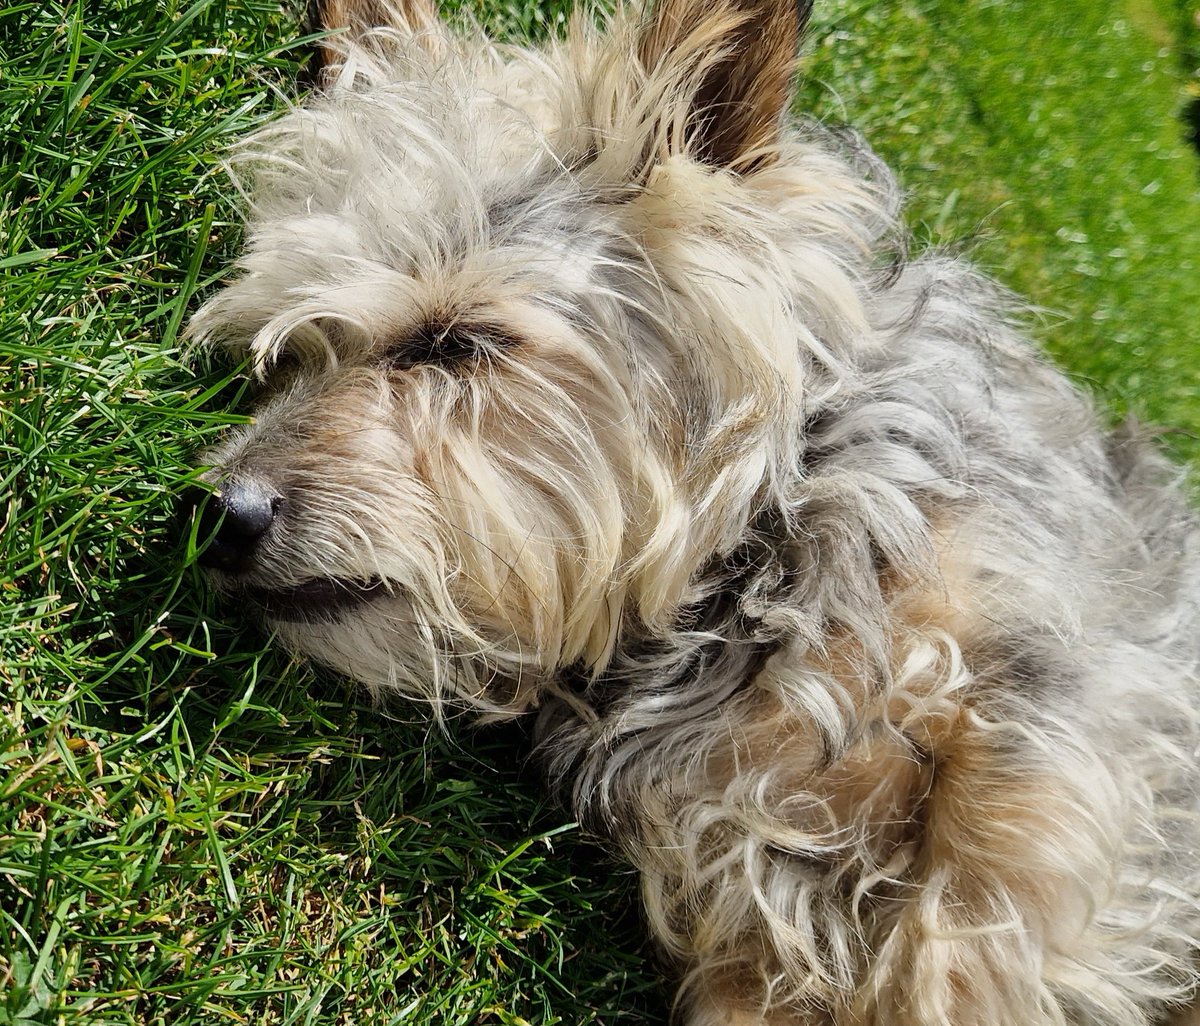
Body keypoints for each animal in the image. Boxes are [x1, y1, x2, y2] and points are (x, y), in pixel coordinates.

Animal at [187, 4, 1200, 1022]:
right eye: (287, 360)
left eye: (454, 342)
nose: (220, 514)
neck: (745, 591)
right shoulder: (737, 897)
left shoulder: (1054, 713)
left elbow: (965, 936)